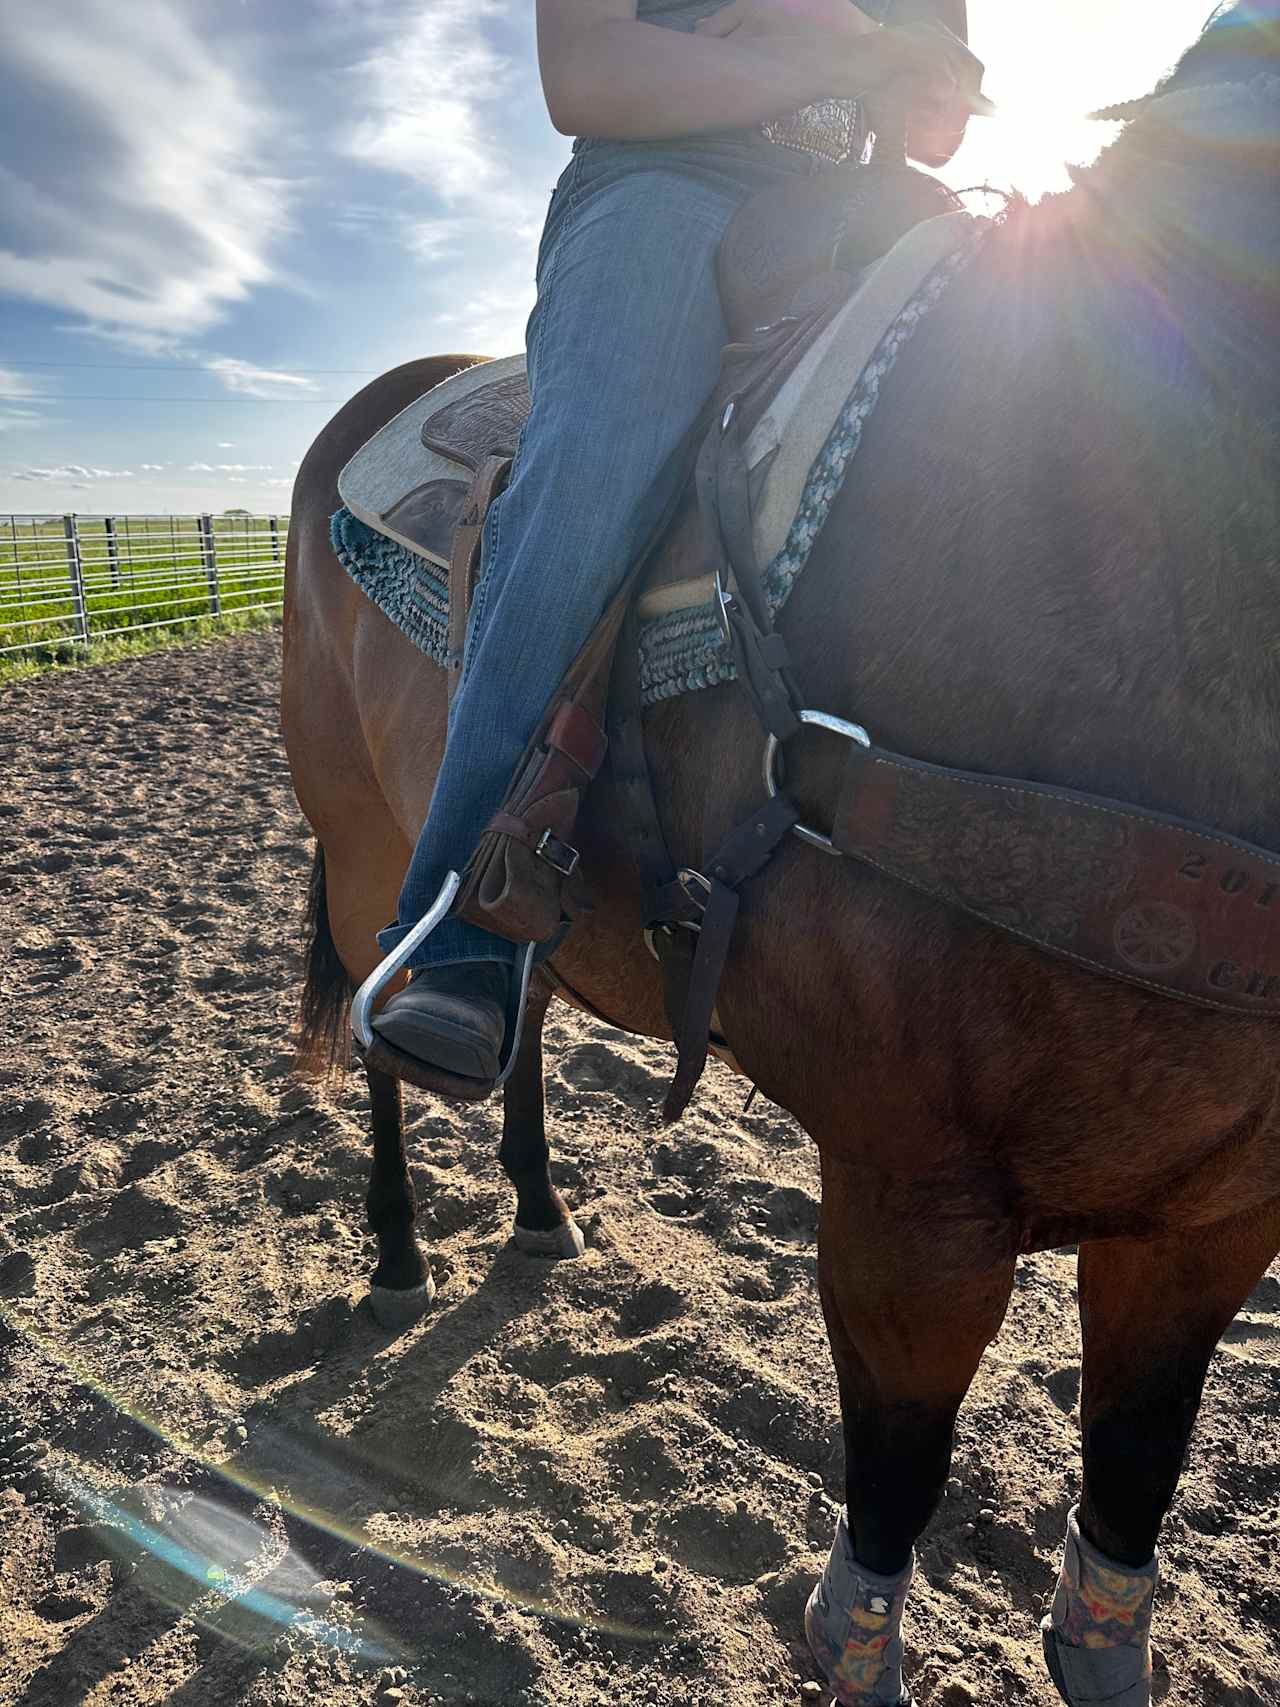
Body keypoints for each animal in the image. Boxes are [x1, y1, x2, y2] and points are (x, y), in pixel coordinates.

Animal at [283, 10, 1280, 1693]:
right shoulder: (909, 1208)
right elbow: (880, 1540)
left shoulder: (1215, 1218)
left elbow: (1124, 1518)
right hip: (359, 836)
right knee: (380, 1025)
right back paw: (401, 1246)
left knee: (521, 1002)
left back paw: (540, 1206)